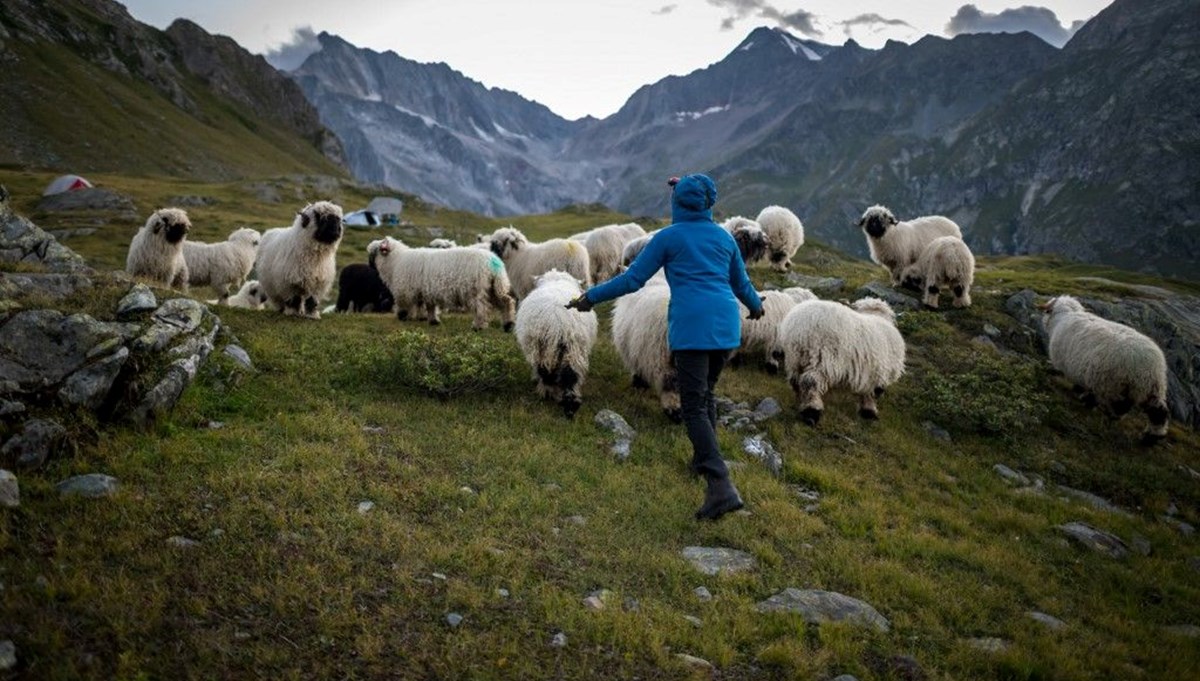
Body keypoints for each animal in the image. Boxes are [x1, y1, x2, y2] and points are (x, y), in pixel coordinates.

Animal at [367, 234, 513, 330]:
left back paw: (478, 326)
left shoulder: (405, 290)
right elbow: (427, 306)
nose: (370, 265)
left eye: (374, 251)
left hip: (476, 290)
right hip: (494, 287)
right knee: (507, 301)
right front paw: (430, 320)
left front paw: (402, 316)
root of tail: (494, 262)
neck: (395, 261)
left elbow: (404, 305)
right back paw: (508, 324)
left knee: (481, 308)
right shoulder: (425, 290)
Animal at [513, 268, 597, 417]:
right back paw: (568, 403)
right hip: (571, 346)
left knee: (545, 371)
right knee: (569, 374)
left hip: (542, 346)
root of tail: (555, 319)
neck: (557, 281)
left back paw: (549, 393)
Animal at [772, 297, 902, 426]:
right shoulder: (876, 375)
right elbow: (870, 394)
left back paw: (800, 405)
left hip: (794, 359)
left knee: (796, 383)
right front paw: (869, 412)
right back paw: (811, 412)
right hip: (820, 359)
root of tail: (797, 327)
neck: (876, 315)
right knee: (810, 383)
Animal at [1036, 296, 1166, 441]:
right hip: (1149, 389)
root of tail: (1151, 365)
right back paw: (1152, 437)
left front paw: (1079, 393)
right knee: (1158, 412)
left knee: (1119, 407)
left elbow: (1078, 384)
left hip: (1112, 383)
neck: (1065, 316)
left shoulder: (1074, 368)